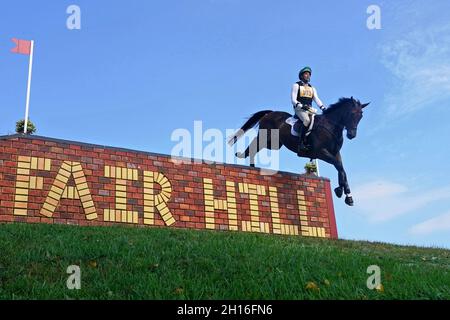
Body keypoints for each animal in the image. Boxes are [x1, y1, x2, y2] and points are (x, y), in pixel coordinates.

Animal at [229, 97, 370, 206]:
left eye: (361, 116)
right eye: (352, 114)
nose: (352, 135)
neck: (330, 126)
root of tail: (270, 113)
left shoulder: (335, 153)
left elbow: (342, 169)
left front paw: (347, 195)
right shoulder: (321, 152)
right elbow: (339, 166)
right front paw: (340, 191)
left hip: (274, 144)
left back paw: (251, 165)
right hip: (266, 137)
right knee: (254, 144)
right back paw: (249, 163)